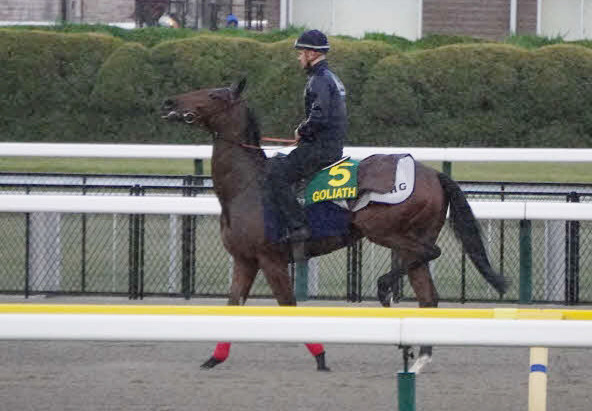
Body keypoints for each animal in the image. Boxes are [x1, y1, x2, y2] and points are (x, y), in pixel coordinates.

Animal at [162, 78, 508, 374]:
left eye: (213, 94)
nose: (170, 101)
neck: (247, 186)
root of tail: (433, 173)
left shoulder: (271, 259)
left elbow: (288, 304)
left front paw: (321, 356)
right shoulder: (245, 259)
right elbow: (233, 305)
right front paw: (214, 358)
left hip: (382, 229)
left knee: (431, 253)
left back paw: (385, 289)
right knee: (428, 295)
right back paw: (420, 358)